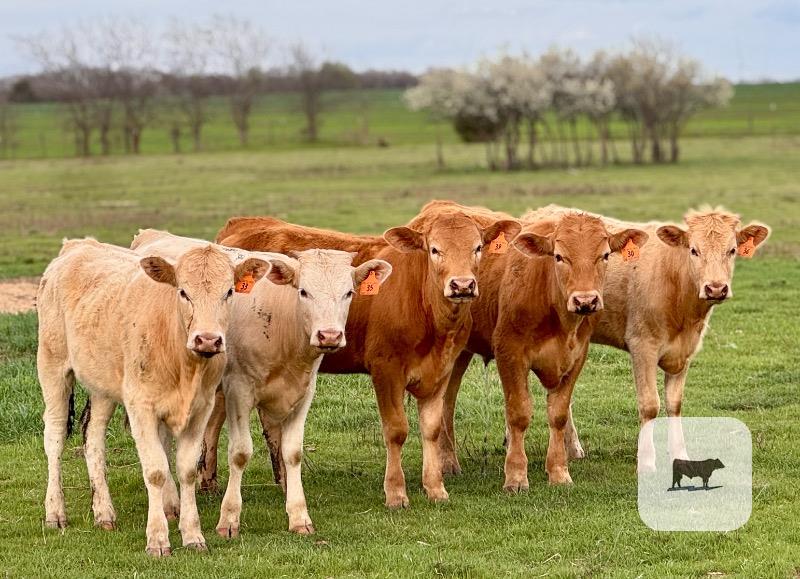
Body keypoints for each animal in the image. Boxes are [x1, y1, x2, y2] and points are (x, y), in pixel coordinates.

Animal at [36, 238, 268, 556]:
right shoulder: (141, 407)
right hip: (53, 367)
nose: (208, 339)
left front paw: (192, 535)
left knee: (93, 437)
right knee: (55, 437)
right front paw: (158, 539)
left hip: (103, 385)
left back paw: (104, 513)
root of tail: (78, 245)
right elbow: (156, 471)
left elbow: (186, 469)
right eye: (183, 292)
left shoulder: (201, 409)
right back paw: (55, 512)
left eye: (229, 292)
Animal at [131, 229, 392, 537]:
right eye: (304, 291)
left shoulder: (304, 393)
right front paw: (229, 518)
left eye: (348, 293)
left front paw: (299, 515)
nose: (329, 335)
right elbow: (240, 453)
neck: (284, 327)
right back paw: (171, 502)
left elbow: (292, 453)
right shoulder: (239, 390)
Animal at [205, 204, 521, 508]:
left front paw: (435, 488)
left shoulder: (441, 371)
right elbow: (396, 430)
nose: (462, 285)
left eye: (477, 247)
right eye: (434, 249)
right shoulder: (386, 370)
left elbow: (432, 428)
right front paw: (395, 493)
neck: (425, 308)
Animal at [431, 201, 648, 489]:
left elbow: (558, 415)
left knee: (447, 400)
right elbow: (519, 413)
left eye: (604, 255)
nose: (585, 301)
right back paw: (446, 463)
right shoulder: (510, 353)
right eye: (558, 256)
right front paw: (516, 475)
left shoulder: (576, 358)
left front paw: (558, 472)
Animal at [521, 205, 770, 471]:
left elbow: (674, 404)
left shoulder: (684, 352)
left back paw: (573, 448)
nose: (715, 288)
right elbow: (650, 405)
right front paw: (647, 462)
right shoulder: (642, 345)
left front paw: (682, 455)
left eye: (732, 250)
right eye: (694, 250)